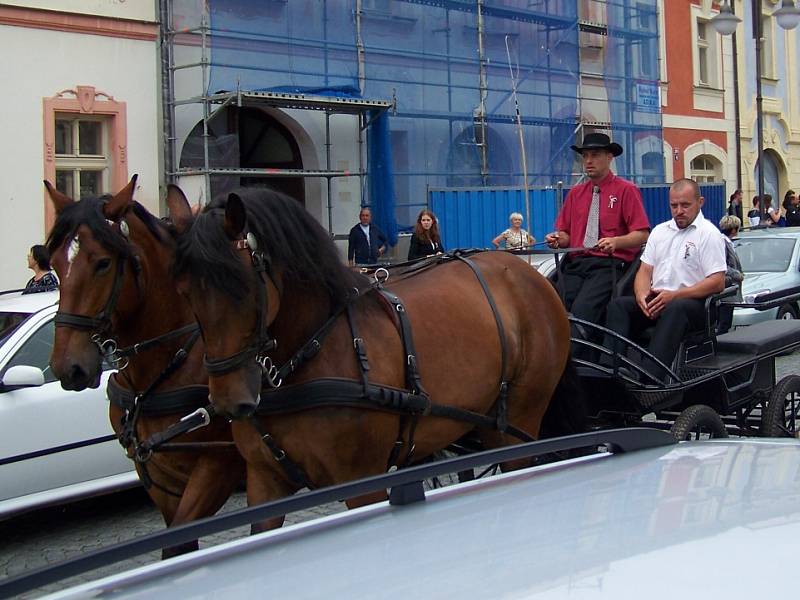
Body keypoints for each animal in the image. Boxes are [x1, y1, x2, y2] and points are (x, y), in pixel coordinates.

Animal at [169, 186, 580, 524]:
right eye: (185, 292)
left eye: (243, 288)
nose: (228, 401)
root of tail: (527, 271)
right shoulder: (264, 482)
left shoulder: (362, 482)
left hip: (522, 420)